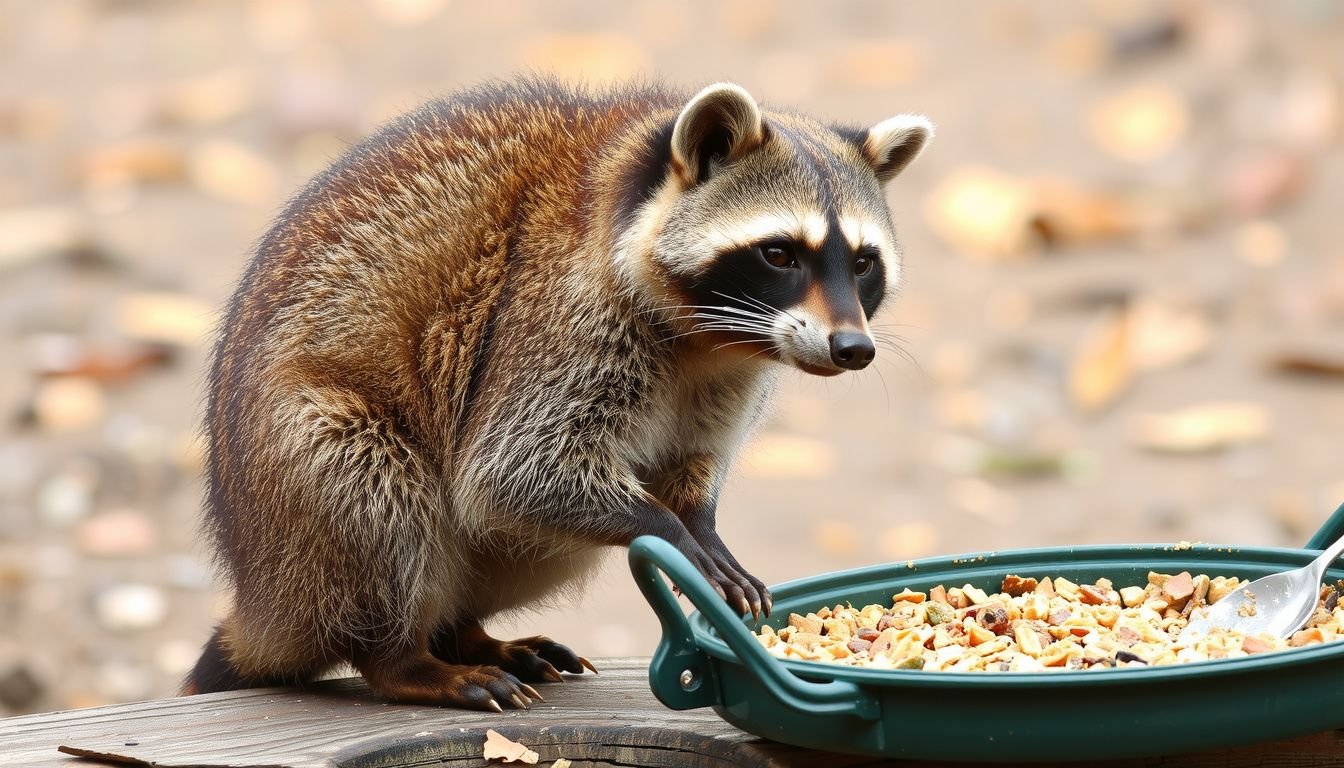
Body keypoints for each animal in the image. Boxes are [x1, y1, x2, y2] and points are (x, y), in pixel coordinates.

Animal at [186, 77, 931, 711]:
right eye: (780, 254)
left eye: (862, 263)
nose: (853, 349)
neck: (708, 341)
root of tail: (267, 604)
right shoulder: (556, 314)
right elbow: (509, 475)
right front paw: (671, 534)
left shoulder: (727, 378)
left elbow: (687, 460)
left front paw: (700, 526)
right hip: (305, 485)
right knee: (374, 485)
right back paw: (404, 658)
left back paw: (463, 631)